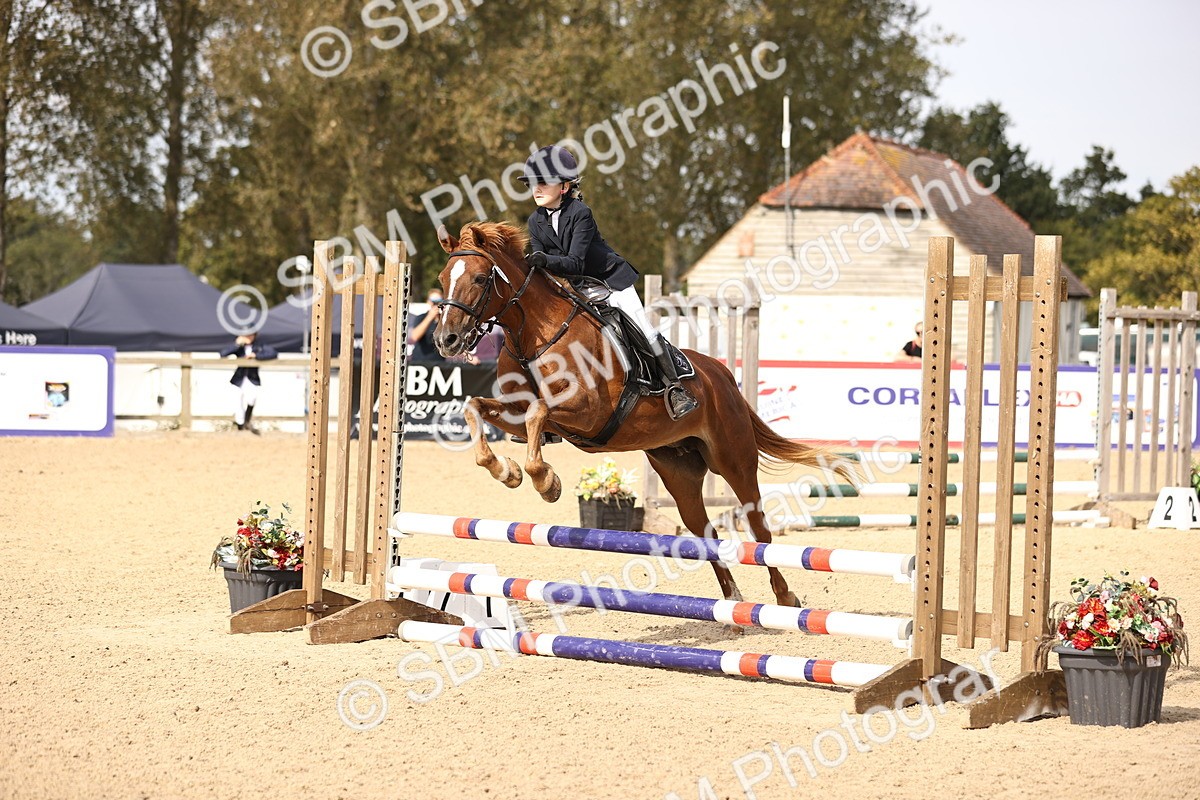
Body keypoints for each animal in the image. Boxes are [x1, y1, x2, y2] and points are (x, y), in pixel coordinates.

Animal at [433, 221, 851, 610]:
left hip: (733, 460)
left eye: (480, 278)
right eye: (442, 279)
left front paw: (545, 482)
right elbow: (477, 408)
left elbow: (539, 413)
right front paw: (507, 472)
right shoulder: (520, 412)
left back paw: (785, 598)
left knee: (759, 530)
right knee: (705, 533)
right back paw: (731, 600)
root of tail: (722, 375)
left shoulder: (588, 412)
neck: (534, 333)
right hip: (678, 470)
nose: (445, 340)